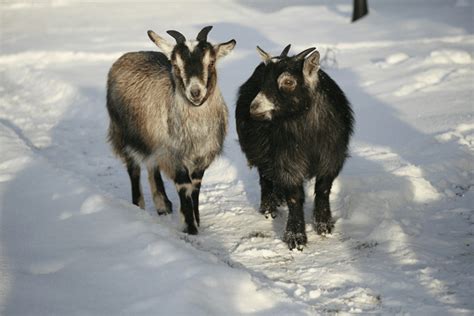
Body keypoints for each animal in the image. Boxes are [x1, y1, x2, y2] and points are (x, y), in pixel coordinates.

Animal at [235, 45, 354, 251]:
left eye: (288, 81)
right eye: (264, 80)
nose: (254, 108)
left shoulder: (331, 157)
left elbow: (323, 189)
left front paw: (324, 225)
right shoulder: (287, 161)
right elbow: (294, 197)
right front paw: (296, 237)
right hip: (260, 152)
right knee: (265, 177)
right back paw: (269, 208)